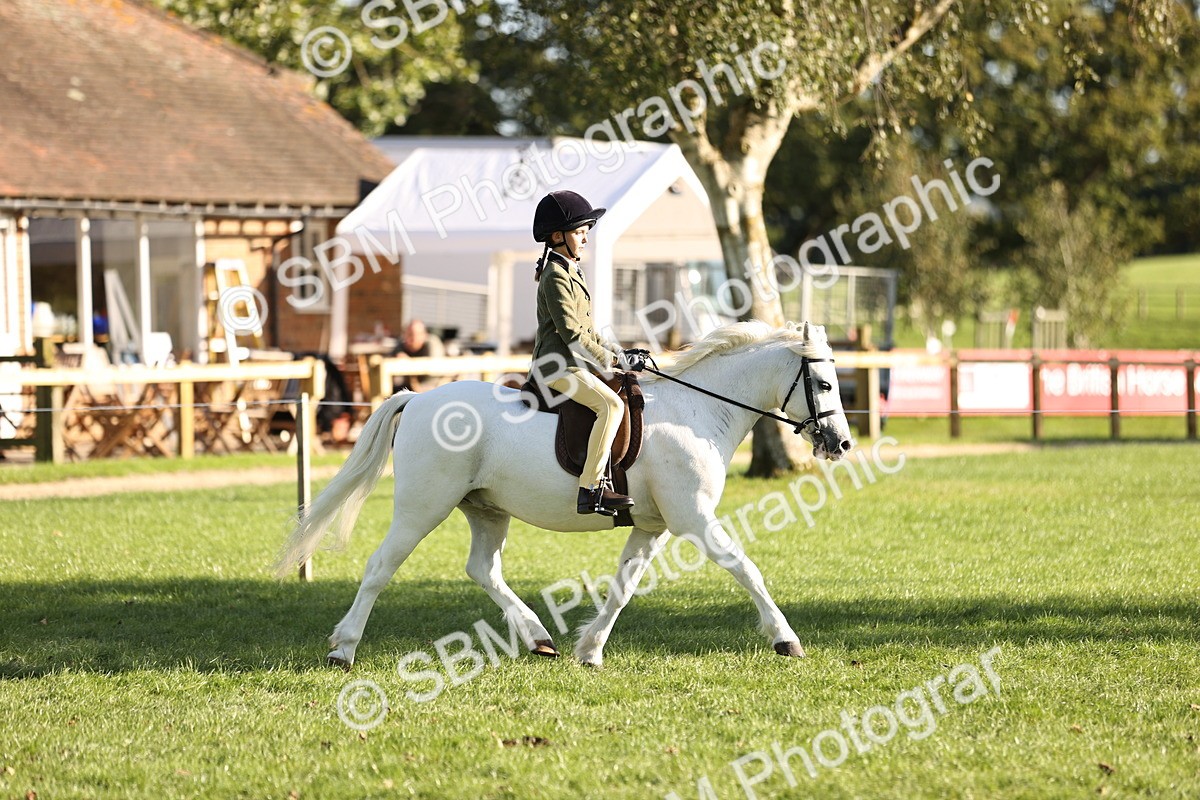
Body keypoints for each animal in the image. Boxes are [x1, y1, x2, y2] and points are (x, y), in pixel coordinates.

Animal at [276, 320, 855, 668]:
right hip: (423, 507)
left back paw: (538, 636)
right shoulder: (693, 518)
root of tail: (418, 398)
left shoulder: (653, 526)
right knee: (380, 567)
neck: (698, 411)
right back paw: (343, 649)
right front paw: (785, 638)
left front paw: (591, 650)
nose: (841, 443)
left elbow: (623, 587)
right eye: (824, 385)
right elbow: (746, 568)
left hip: (486, 510)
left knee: (482, 569)